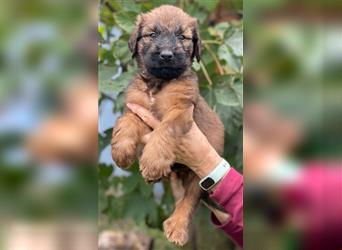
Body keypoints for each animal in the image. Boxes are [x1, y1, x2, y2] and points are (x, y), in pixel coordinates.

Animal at [111, 4, 224, 245]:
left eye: (182, 37)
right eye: (152, 34)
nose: (166, 55)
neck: (159, 83)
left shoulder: (180, 112)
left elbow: (164, 132)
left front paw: (153, 162)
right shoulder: (136, 107)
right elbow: (125, 123)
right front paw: (122, 152)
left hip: (198, 178)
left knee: (188, 202)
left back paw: (177, 226)